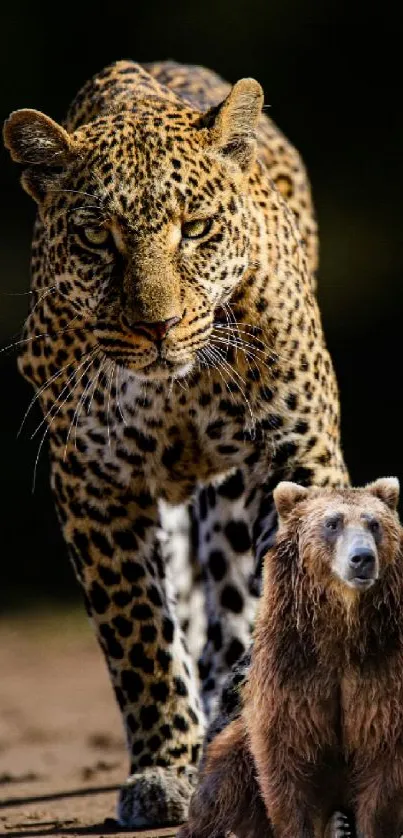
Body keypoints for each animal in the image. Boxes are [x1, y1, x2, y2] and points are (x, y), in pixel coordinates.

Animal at [2, 59, 350, 828]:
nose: (156, 327)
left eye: (195, 229)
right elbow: (138, 632)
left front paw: (247, 709)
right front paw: (163, 768)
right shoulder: (93, 482)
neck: (176, 390)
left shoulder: (295, 452)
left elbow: (268, 601)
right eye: (97, 239)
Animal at [179, 480, 403, 838]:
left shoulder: (382, 669)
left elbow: (382, 760)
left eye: (374, 523)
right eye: (332, 523)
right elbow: (287, 764)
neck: (342, 632)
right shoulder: (291, 672)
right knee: (224, 779)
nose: (362, 558)